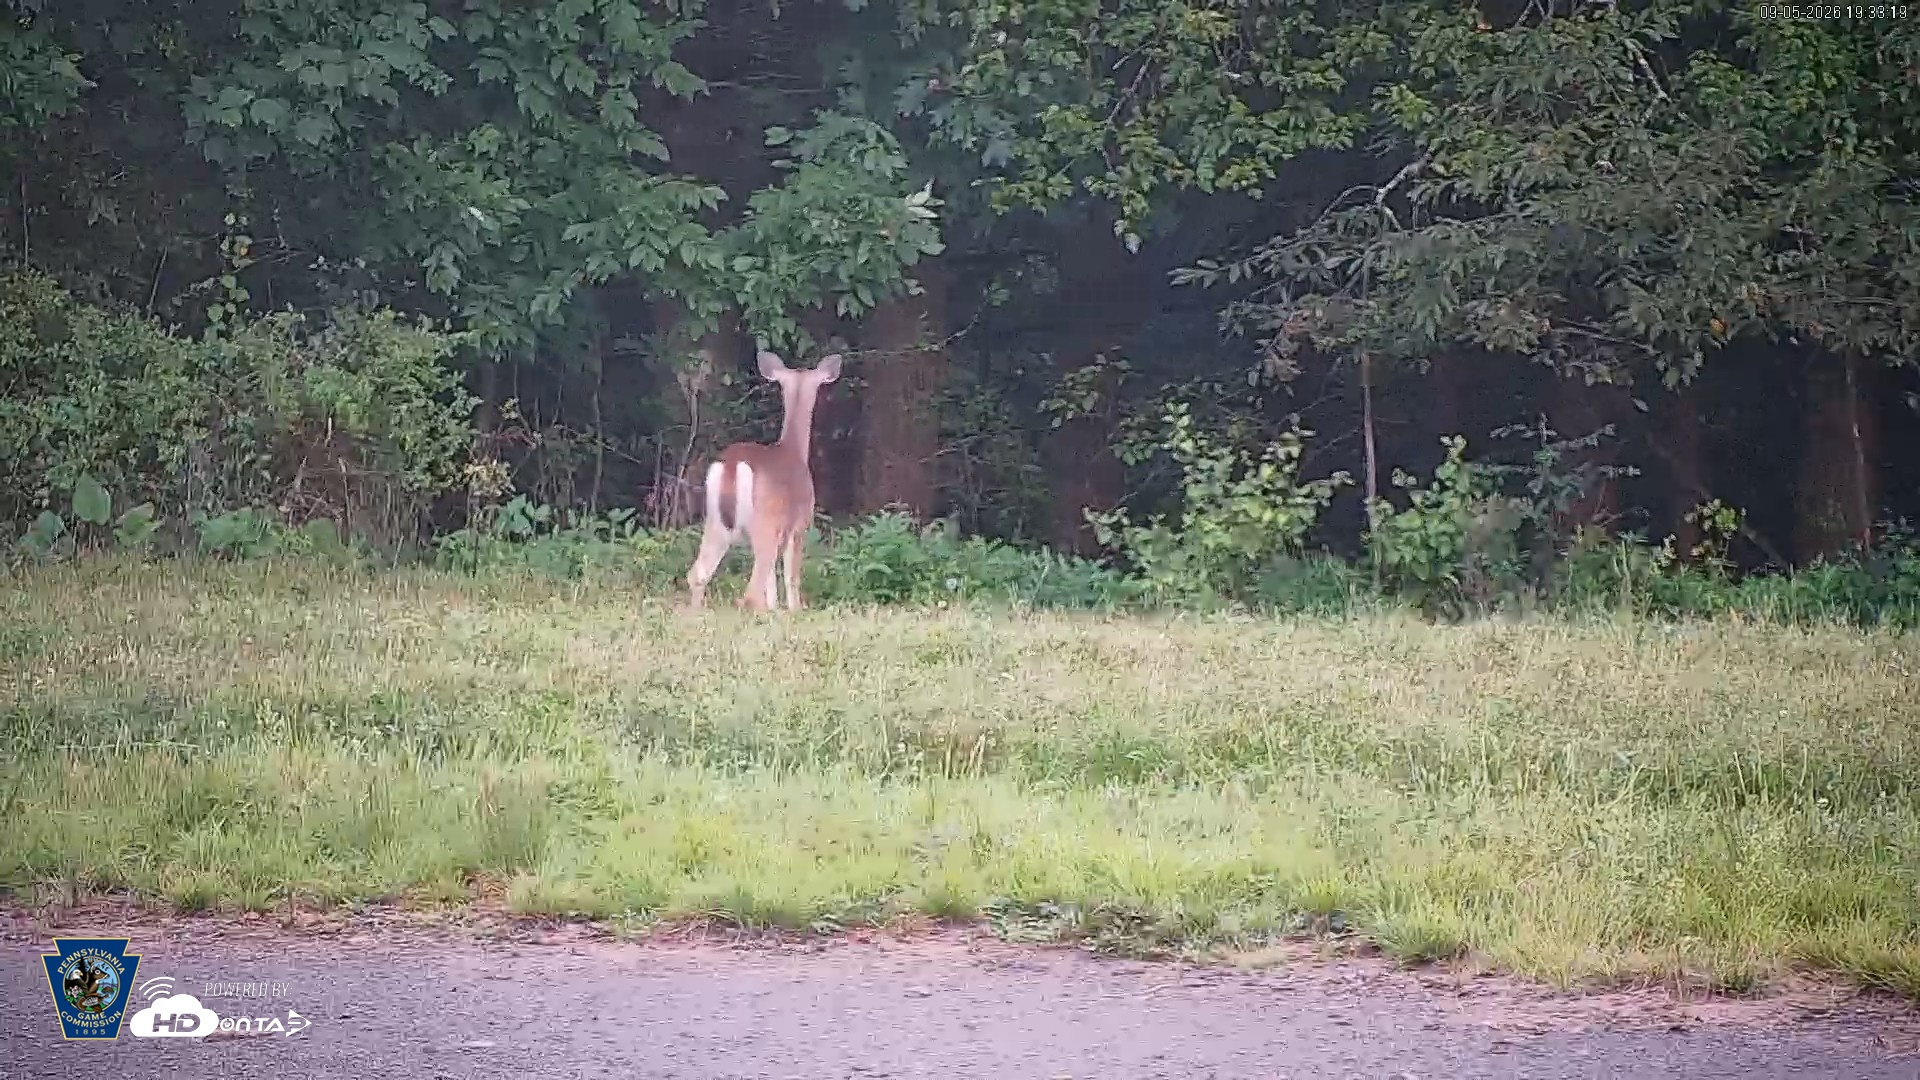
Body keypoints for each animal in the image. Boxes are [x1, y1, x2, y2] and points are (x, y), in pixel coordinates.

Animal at [686, 349, 843, 611]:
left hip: (715, 520)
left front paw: (775, 609)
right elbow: (791, 576)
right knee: (751, 590)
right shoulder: (799, 523)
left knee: (698, 573)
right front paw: (793, 611)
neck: (794, 451)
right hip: (765, 519)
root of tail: (731, 465)